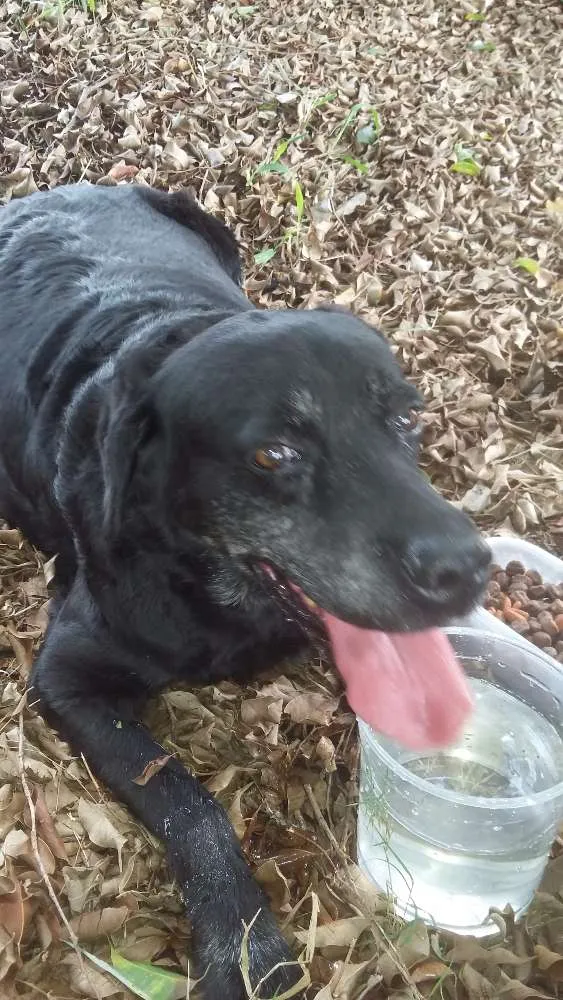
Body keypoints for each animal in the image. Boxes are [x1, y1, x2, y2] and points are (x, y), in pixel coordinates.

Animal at [0, 184, 490, 996]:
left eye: (405, 417)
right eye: (272, 454)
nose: (465, 567)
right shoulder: (68, 677)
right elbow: (186, 801)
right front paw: (243, 942)